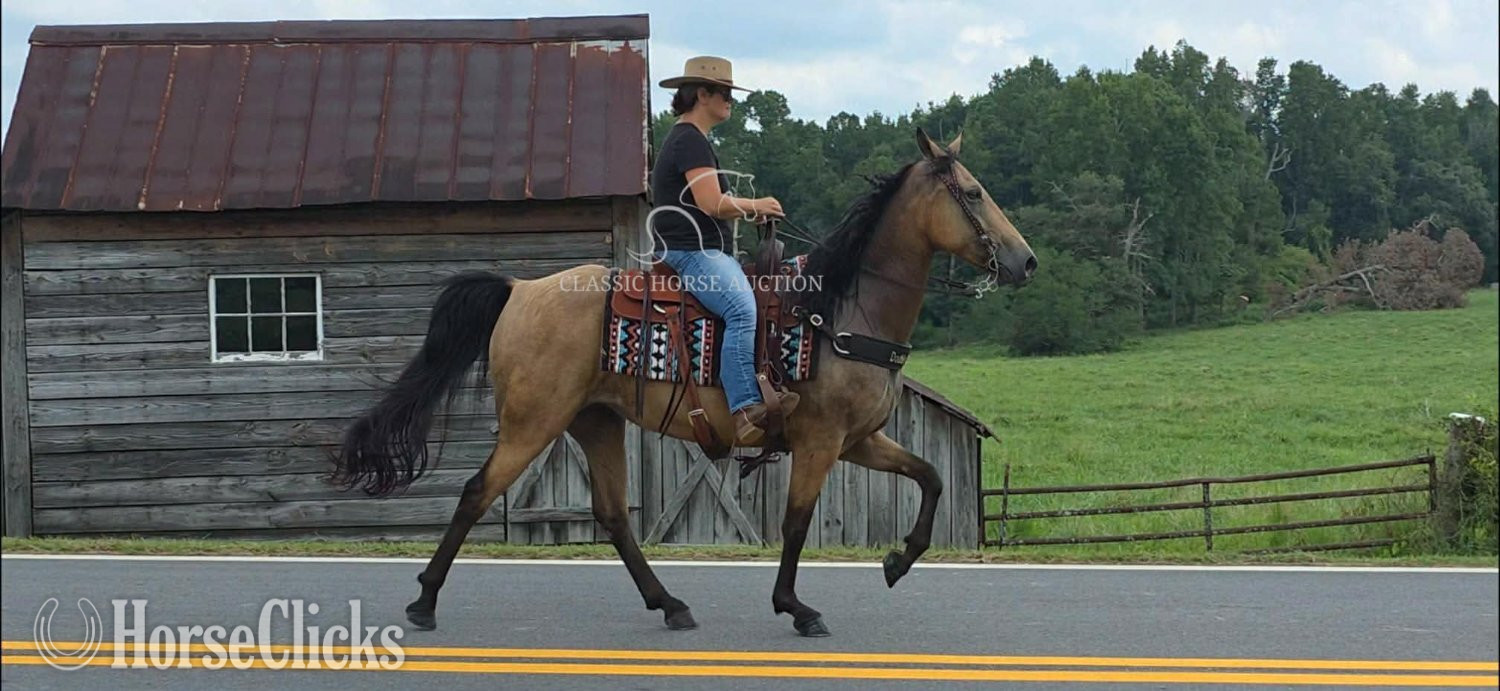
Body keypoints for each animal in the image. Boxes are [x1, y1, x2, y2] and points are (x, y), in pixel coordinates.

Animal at [331, 128, 1036, 638]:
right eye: (972, 192)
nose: (1025, 261)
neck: (838, 310)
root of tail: (519, 290)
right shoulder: (819, 442)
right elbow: (797, 522)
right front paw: (795, 607)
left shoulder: (859, 440)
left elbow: (932, 477)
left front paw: (898, 560)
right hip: (533, 423)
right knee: (478, 492)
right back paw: (424, 602)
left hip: (595, 421)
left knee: (614, 515)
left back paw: (669, 603)